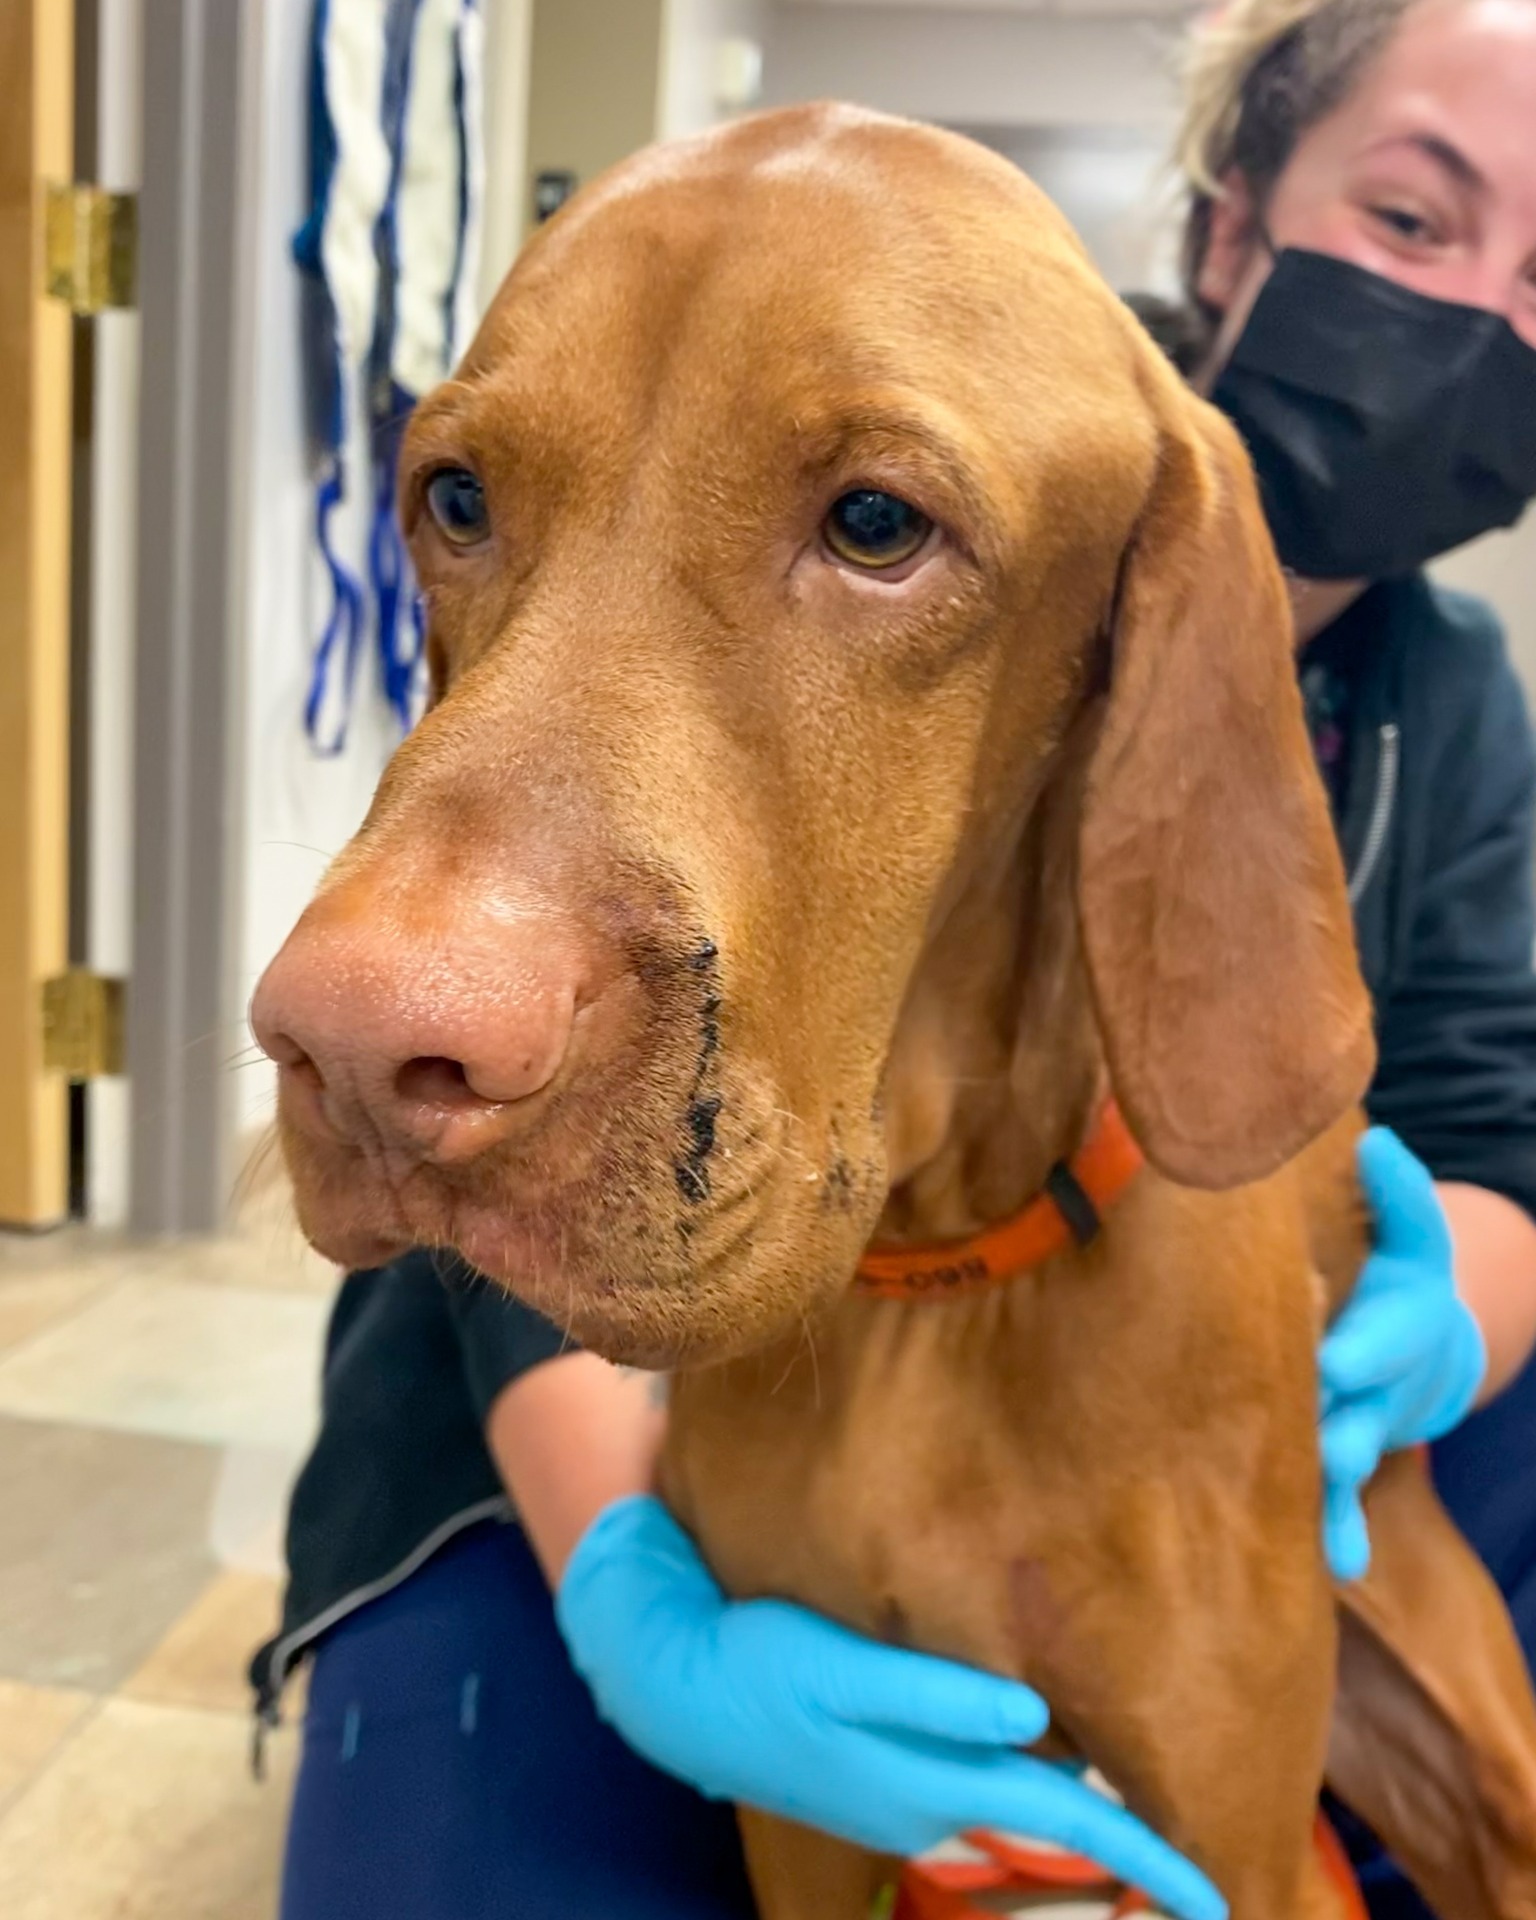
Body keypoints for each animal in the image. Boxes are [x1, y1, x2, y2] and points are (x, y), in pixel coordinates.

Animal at [251, 108, 1536, 1920]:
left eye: (875, 524)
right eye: (451, 497)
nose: (360, 1051)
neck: (943, 1277)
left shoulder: (1230, 1823)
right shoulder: (810, 1791)